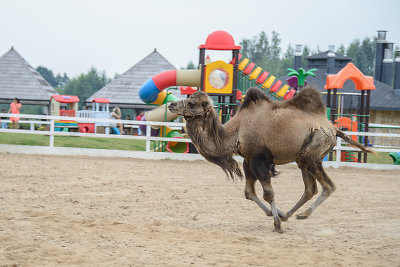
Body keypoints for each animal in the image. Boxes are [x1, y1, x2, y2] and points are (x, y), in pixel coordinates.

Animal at [167, 87, 374, 233]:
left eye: (192, 103)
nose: (171, 105)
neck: (235, 134)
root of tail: (332, 127)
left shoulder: (260, 159)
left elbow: (269, 193)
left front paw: (276, 223)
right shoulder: (248, 160)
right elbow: (249, 193)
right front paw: (276, 214)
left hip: (313, 151)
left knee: (328, 186)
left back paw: (303, 214)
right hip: (303, 157)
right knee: (310, 189)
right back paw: (289, 215)